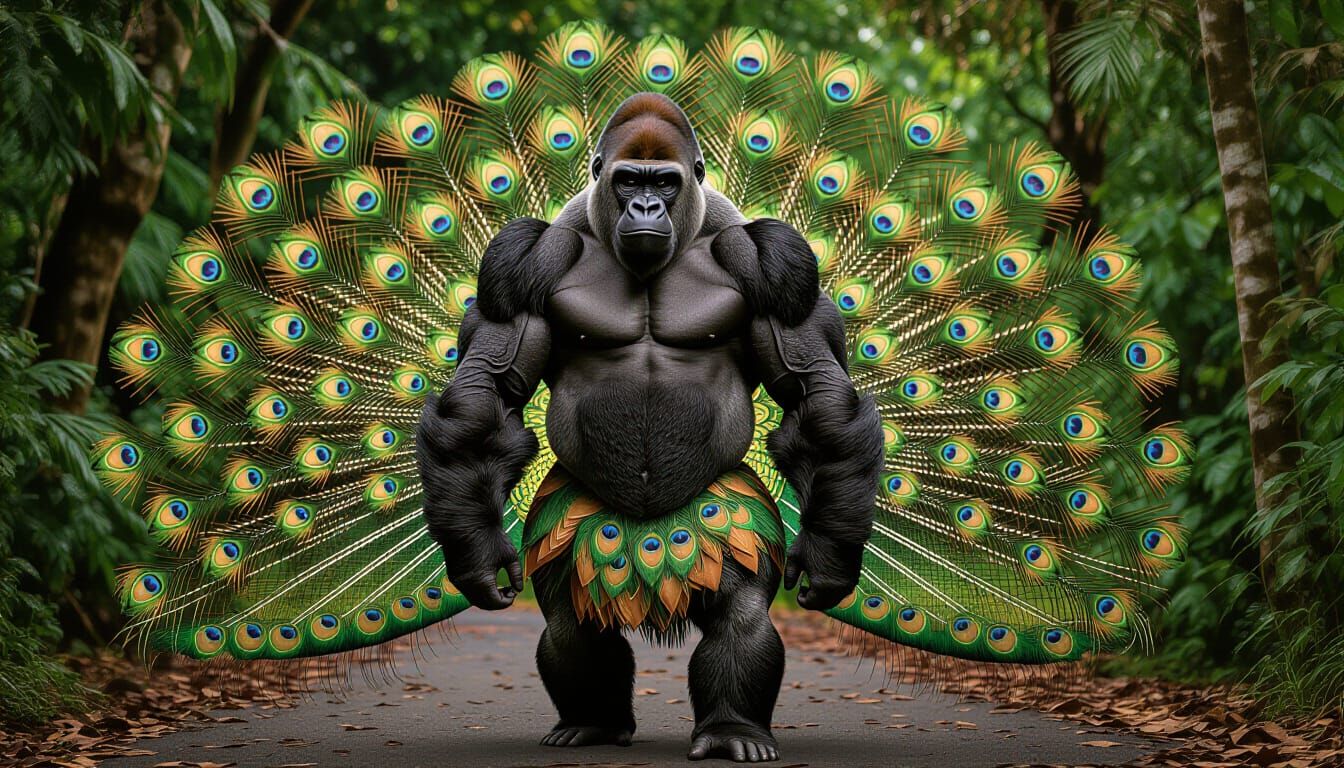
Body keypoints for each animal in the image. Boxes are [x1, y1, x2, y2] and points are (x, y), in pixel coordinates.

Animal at [417, 92, 883, 763]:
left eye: (664, 182)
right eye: (627, 181)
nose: (645, 207)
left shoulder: (775, 260)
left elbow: (817, 403)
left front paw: (828, 560)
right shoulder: (520, 258)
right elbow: (483, 404)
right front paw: (478, 558)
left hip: (728, 528)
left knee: (740, 617)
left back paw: (732, 729)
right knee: (571, 625)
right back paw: (593, 721)